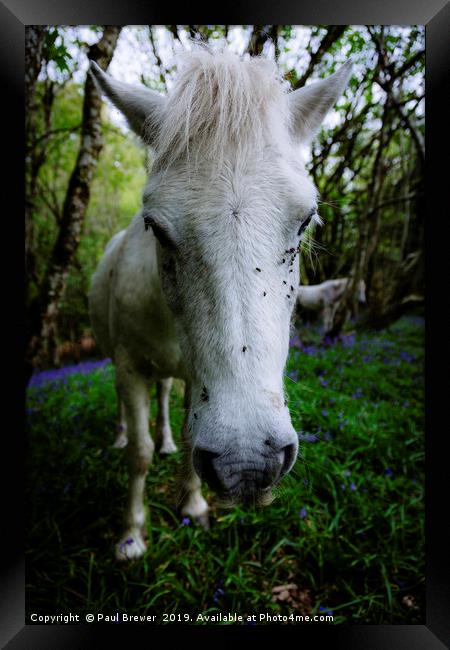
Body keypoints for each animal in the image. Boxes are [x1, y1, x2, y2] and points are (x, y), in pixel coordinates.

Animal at [89, 49, 354, 556]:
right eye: (154, 226)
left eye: (305, 221)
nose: (247, 463)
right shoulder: (129, 367)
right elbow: (138, 454)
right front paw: (131, 535)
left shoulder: (196, 377)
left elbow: (184, 430)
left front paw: (193, 506)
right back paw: (116, 436)